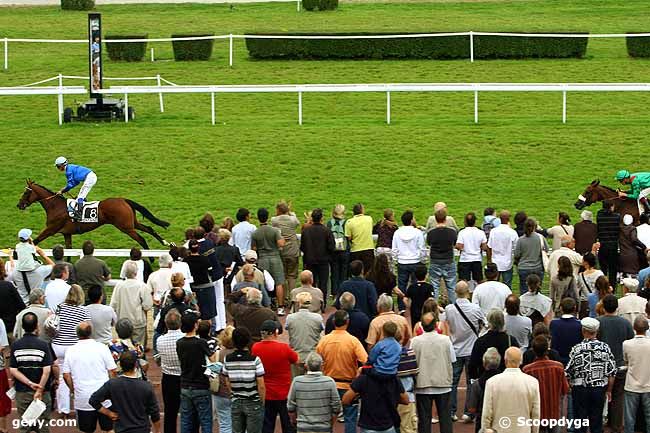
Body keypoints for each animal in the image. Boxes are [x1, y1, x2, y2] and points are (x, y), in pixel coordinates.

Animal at [17, 179, 170, 248]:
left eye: (26, 192)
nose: (19, 205)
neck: (56, 207)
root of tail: (123, 199)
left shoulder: (50, 229)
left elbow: (35, 241)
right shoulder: (66, 233)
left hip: (125, 227)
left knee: (141, 239)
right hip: (131, 223)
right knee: (149, 229)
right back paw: (166, 243)